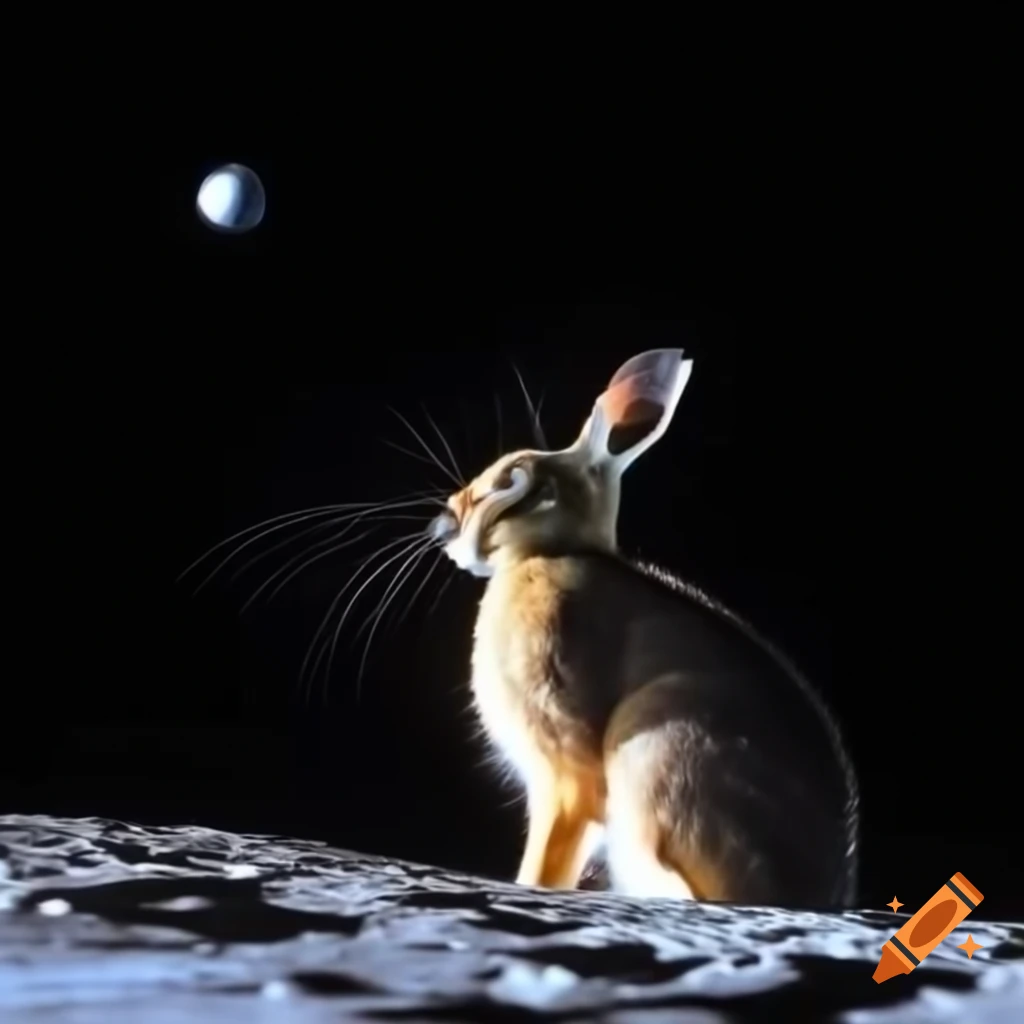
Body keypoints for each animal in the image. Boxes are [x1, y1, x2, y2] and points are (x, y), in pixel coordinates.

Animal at [429, 349, 859, 907]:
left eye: (511, 480)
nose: (443, 525)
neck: (552, 549)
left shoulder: (562, 771)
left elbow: (551, 848)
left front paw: (529, 886)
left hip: (657, 758)